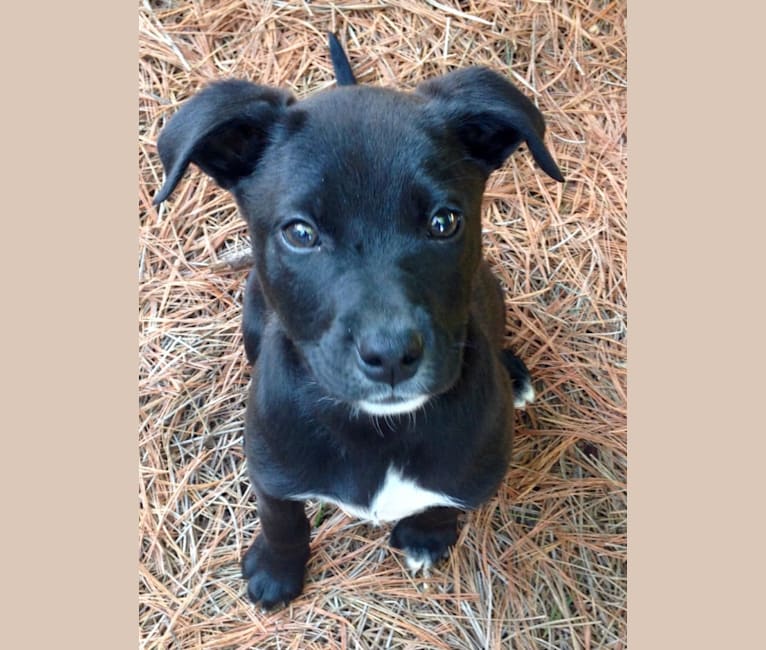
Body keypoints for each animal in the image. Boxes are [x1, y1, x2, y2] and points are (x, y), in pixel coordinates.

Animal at [156, 33, 564, 604]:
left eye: (444, 222)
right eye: (300, 233)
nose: (391, 355)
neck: (380, 432)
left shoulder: (473, 476)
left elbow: (442, 506)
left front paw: (425, 538)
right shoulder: (270, 468)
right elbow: (282, 520)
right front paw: (276, 571)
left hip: (491, 287)